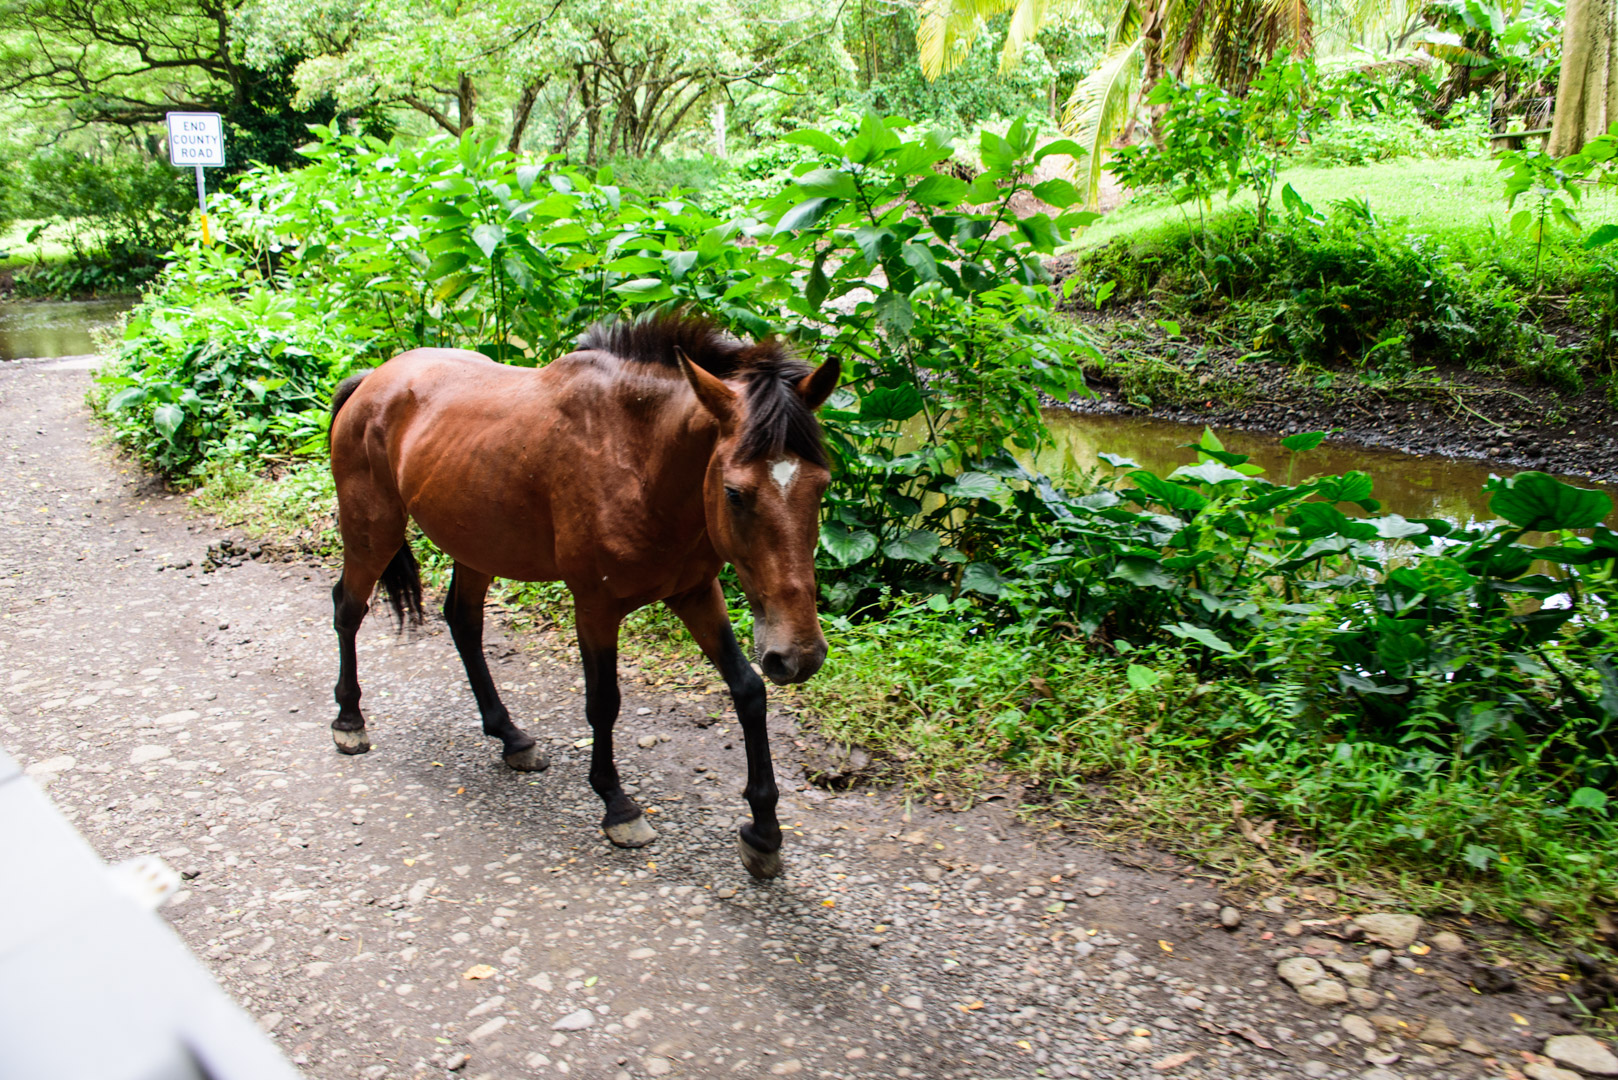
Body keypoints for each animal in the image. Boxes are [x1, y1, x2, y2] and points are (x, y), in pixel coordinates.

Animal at [323, 312, 841, 880]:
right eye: (734, 493)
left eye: (821, 485)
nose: (800, 655)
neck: (638, 457)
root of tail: (371, 380)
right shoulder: (595, 606)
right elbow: (604, 702)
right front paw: (618, 806)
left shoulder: (695, 593)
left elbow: (748, 690)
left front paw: (764, 832)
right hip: (372, 529)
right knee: (348, 608)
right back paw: (349, 720)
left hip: (476, 545)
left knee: (463, 622)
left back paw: (511, 737)